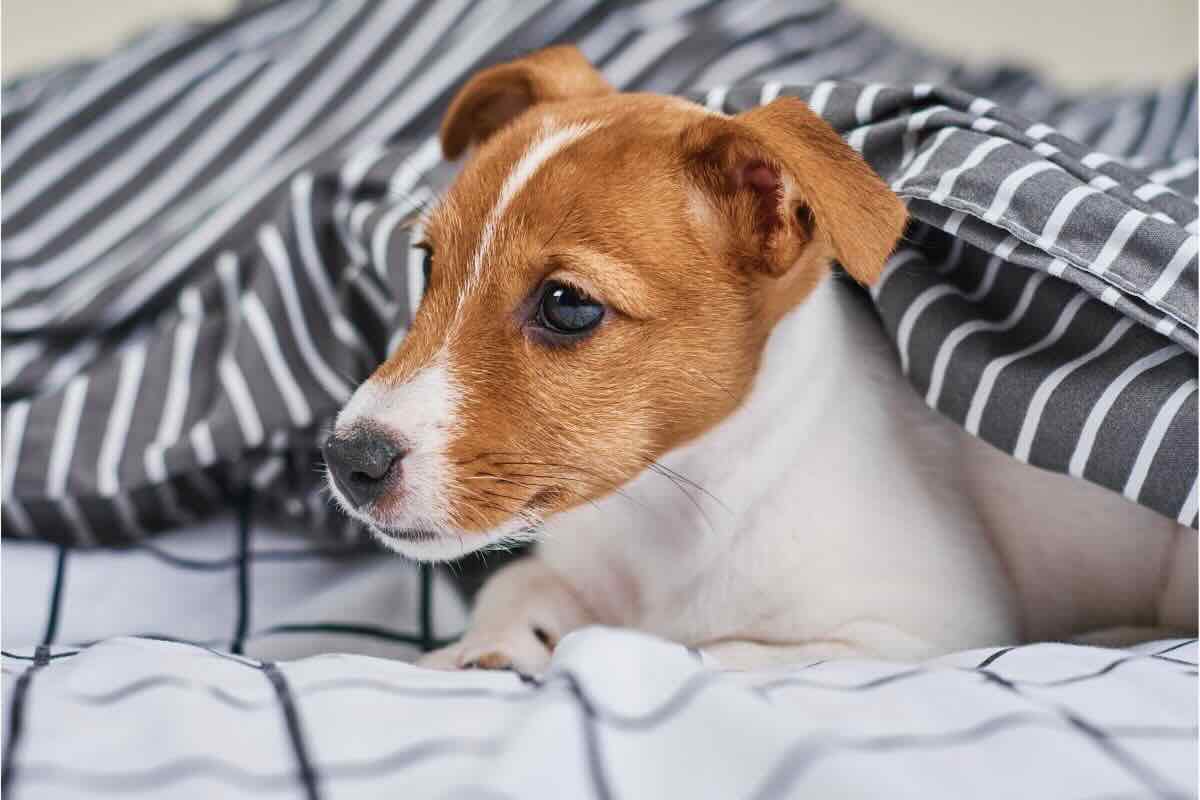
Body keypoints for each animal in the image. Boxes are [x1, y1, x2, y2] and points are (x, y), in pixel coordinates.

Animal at [324, 43, 1195, 671]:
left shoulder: (908, 635)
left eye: (567, 305)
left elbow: (714, 653)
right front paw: (482, 648)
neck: (668, 515)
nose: (347, 459)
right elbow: (519, 581)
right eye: (428, 266)